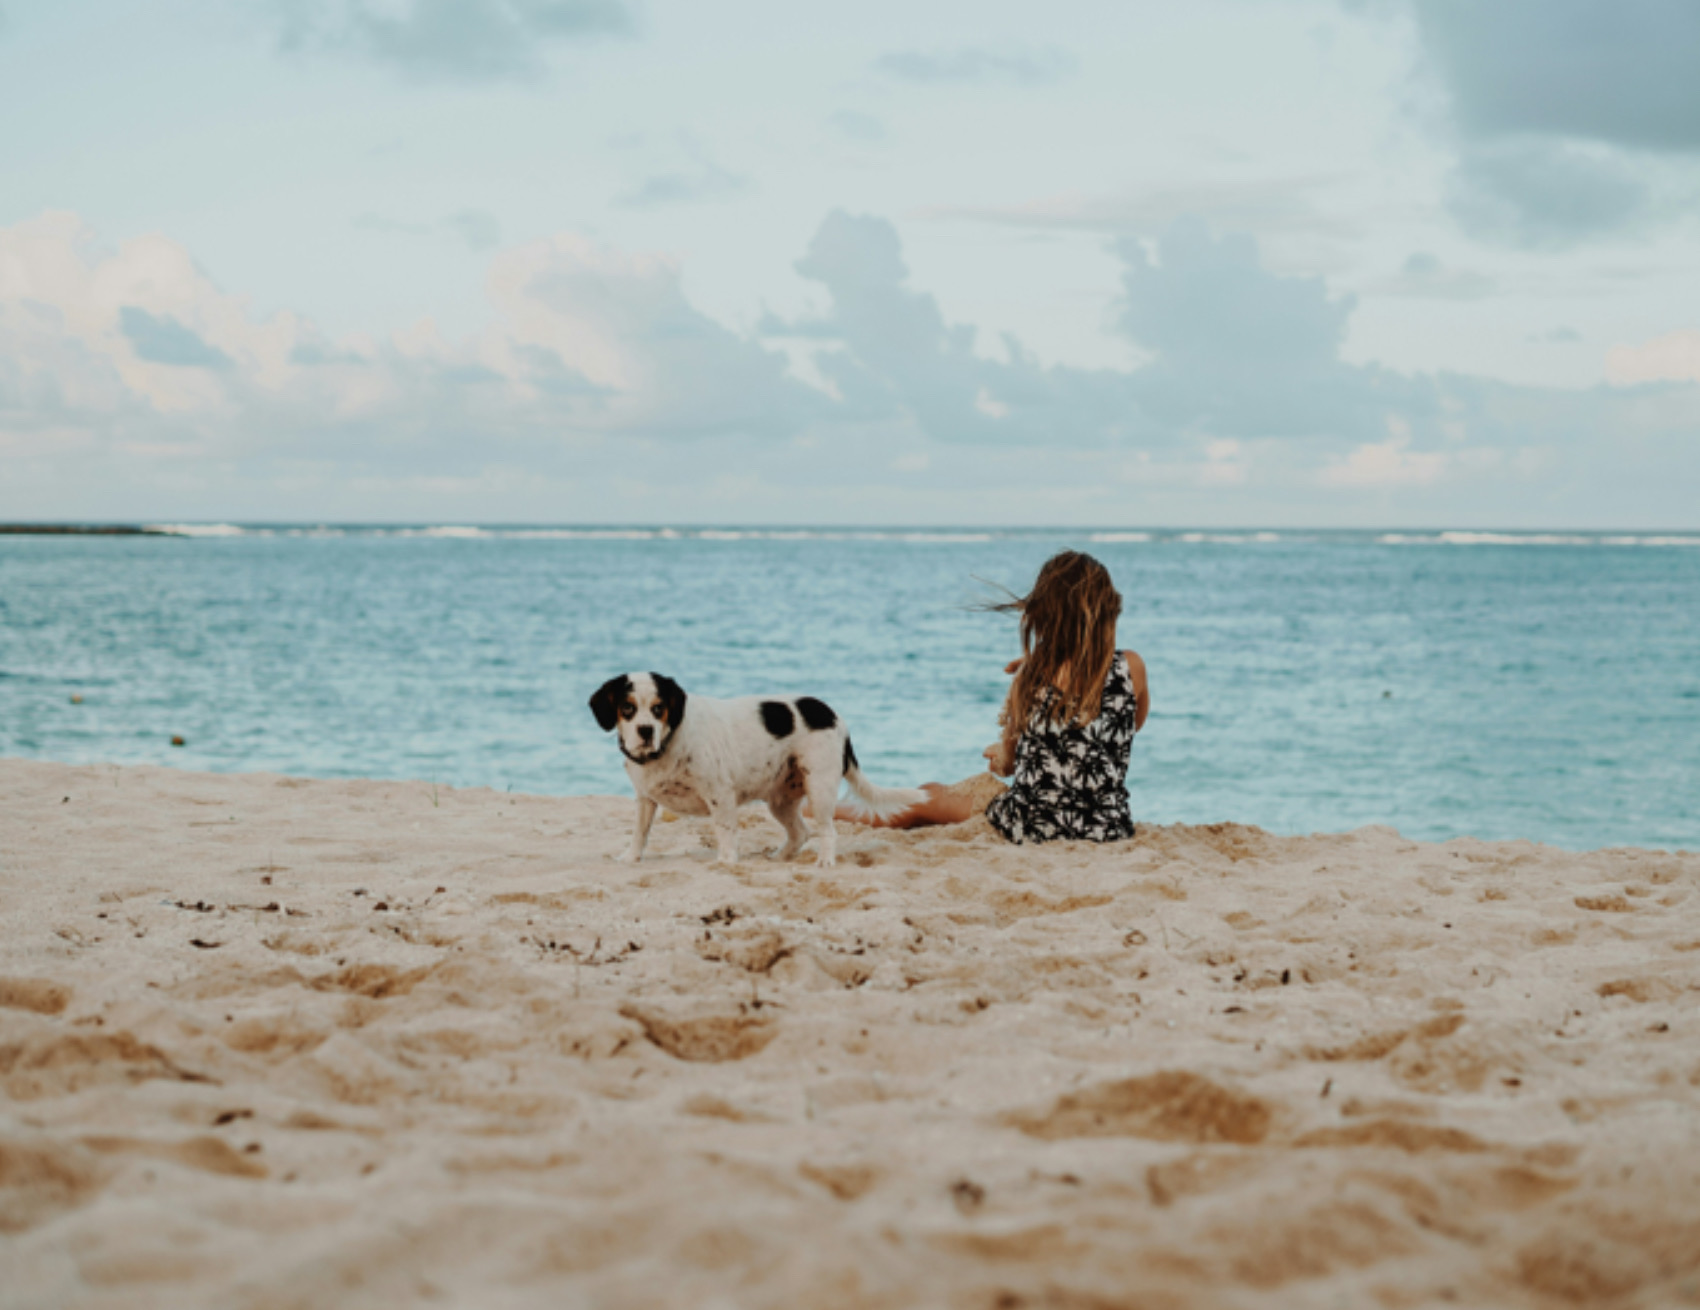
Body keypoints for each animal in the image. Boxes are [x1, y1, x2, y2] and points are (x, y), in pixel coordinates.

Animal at [588, 676, 931, 869]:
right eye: (627, 708)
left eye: (659, 708)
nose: (645, 731)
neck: (669, 741)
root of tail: (835, 716)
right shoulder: (645, 800)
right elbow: (639, 833)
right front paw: (630, 858)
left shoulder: (720, 794)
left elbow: (726, 831)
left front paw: (727, 862)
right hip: (780, 801)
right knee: (801, 832)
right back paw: (780, 858)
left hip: (820, 790)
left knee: (827, 831)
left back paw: (825, 861)